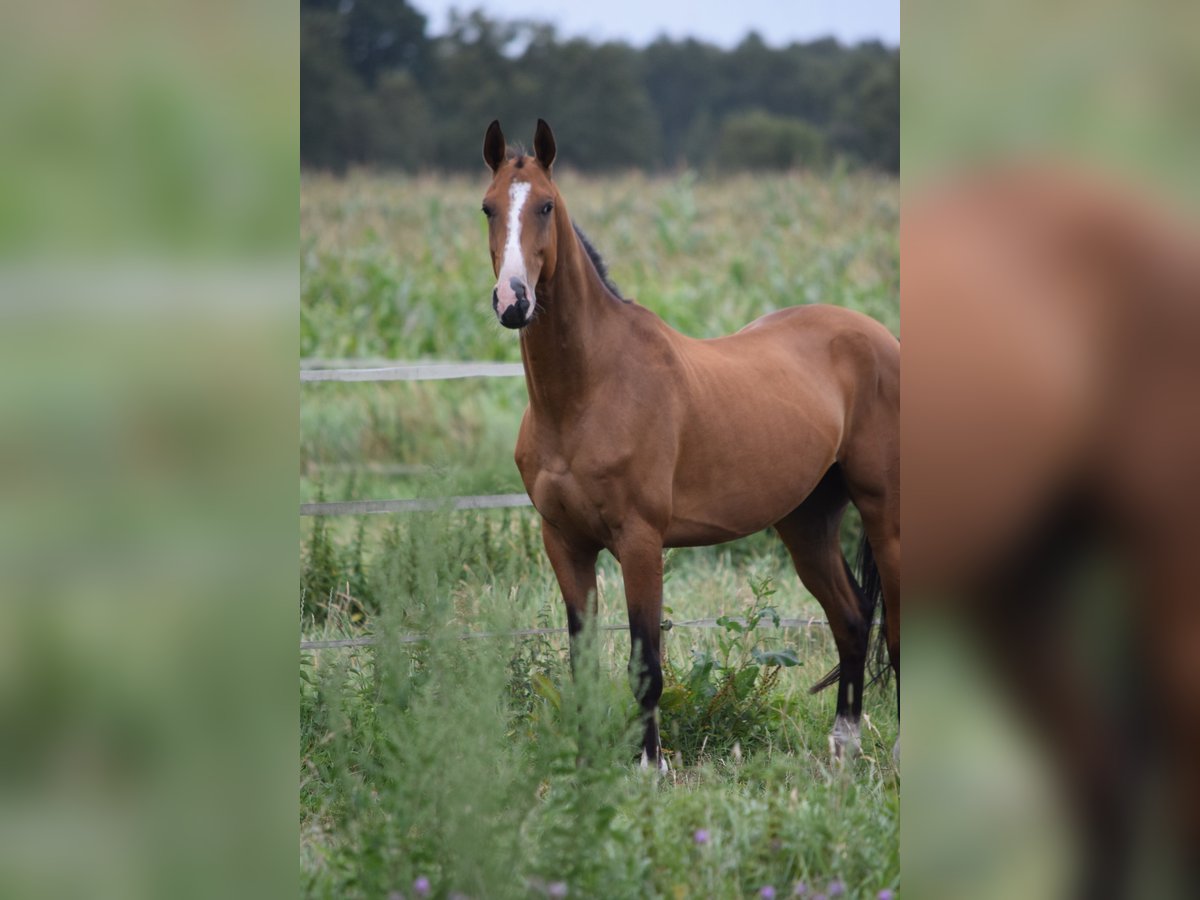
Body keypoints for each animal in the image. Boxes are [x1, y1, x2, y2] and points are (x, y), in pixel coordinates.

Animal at [480, 119, 900, 770]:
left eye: (546, 205)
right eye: (489, 207)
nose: (513, 301)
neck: (587, 391)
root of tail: (882, 338)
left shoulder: (640, 542)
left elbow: (646, 664)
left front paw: (650, 769)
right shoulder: (565, 543)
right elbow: (582, 661)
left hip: (884, 512)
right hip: (807, 523)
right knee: (852, 621)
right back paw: (843, 748)